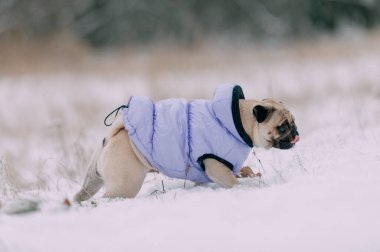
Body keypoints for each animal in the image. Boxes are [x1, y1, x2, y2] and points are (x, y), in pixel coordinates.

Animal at [75, 83, 300, 202]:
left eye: (293, 122)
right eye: (282, 127)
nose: (296, 133)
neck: (239, 123)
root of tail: (113, 135)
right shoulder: (217, 167)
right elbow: (233, 181)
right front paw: (248, 187)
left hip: (93, 179)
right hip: (125, 184)